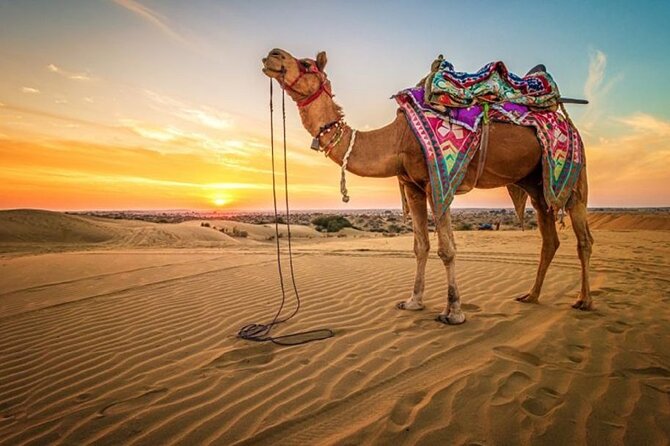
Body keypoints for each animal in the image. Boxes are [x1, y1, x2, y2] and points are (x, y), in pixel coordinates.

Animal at [262, 48, 594, 324]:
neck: (395, 139)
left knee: (583, 238)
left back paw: (584, 301)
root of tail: (565, 120)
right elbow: (420, 245)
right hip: (536, 183)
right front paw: (413, 301)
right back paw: (531, 295)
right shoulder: (413, 186)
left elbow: (447, 249)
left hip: (575, 173)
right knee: (549, 237)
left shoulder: (439, 183)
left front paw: (454, 311)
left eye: (306, 63)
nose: (273, 55)